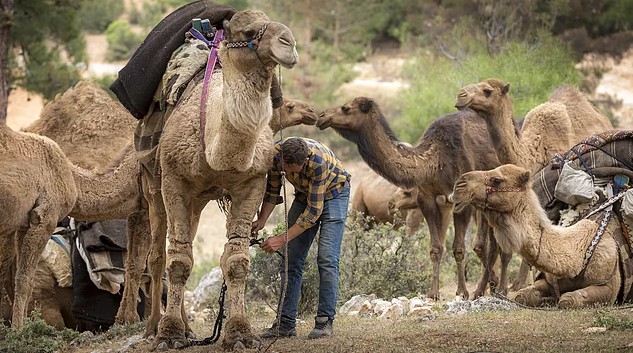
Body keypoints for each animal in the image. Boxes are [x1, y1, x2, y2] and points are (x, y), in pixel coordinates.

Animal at [318, 97, 502, 300]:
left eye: (345, 108)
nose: (321, 116)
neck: (435, 160)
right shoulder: (427, 199)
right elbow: (436, 248)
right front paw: (433, 294)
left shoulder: (462, 201)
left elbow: (459, 248)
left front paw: (462, 292)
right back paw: (490, 287)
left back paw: (490, 288)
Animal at [450, 164, 632, 306]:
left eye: (497, 180)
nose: (458, 185)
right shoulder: (548, 281)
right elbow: (522, 296)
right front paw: (547, 299)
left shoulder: (608, 287)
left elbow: (568, 300)